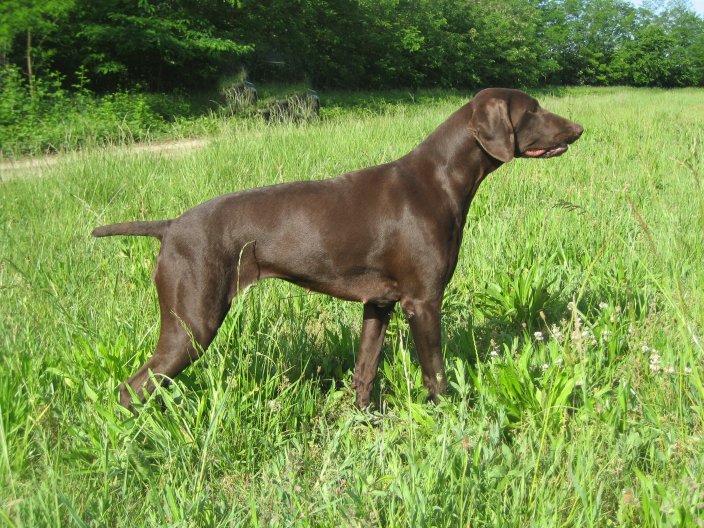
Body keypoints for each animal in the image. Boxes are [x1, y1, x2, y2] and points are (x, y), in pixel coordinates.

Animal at [91, 88, 580, 410]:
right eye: (533, 110)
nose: (578, 128)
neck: (439, 179)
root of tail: (171, 227)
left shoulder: (378, 304)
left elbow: (365, 372)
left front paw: (365, 422)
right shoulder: (423, 302)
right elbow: (436, 374)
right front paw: (451, 423)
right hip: (191, 324)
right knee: (132, 387)